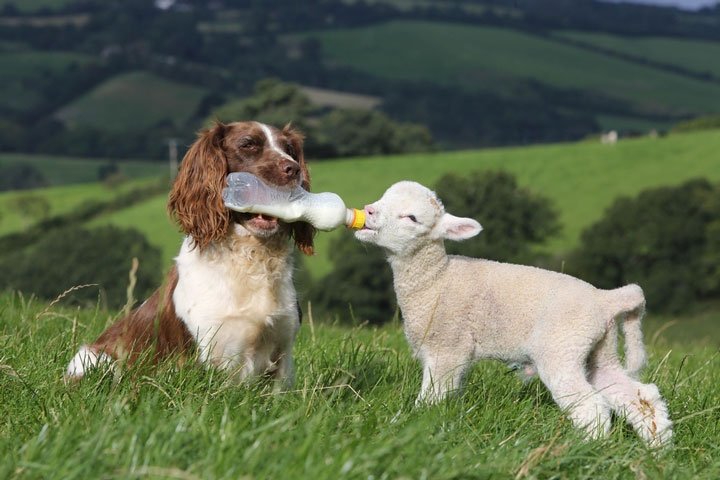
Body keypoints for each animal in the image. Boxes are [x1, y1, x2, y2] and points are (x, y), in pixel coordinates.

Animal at [66, 122, 314, 388]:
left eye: (289, 149)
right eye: (248, 144)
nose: (293, 169)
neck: (250, 257)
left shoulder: (282, 350)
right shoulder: (208, 352)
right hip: (97, 359)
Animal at [358, 180, 672, 446]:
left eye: (411, 218)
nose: (369, 210)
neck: (436, 280)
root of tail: (606, 299)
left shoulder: (447, 348)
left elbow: (433, 396)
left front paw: (414, 425)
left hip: (562, 348)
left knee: (591, 406)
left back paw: (586, 448)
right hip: (600, 350)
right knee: (640, 396)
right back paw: (659, 449)